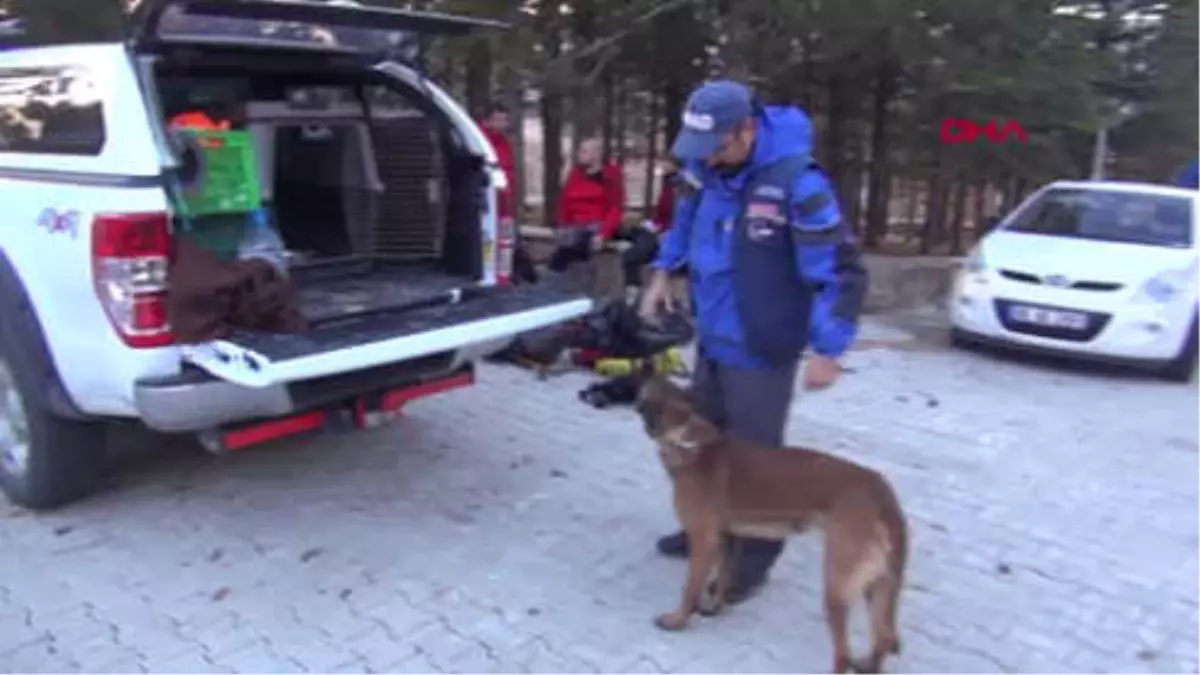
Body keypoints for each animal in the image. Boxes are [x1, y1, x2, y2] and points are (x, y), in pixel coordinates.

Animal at [638, 372, 907, 672]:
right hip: (877, 585)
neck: (691, 443)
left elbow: (690, 590)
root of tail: (882, 494)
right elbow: (724, 576)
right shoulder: (727, 539)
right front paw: (715, 608)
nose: (649, 369)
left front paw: (678, 620)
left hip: (837, 585)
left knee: (843, 653)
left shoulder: (704, 541)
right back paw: (869, 665)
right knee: (883, 636)